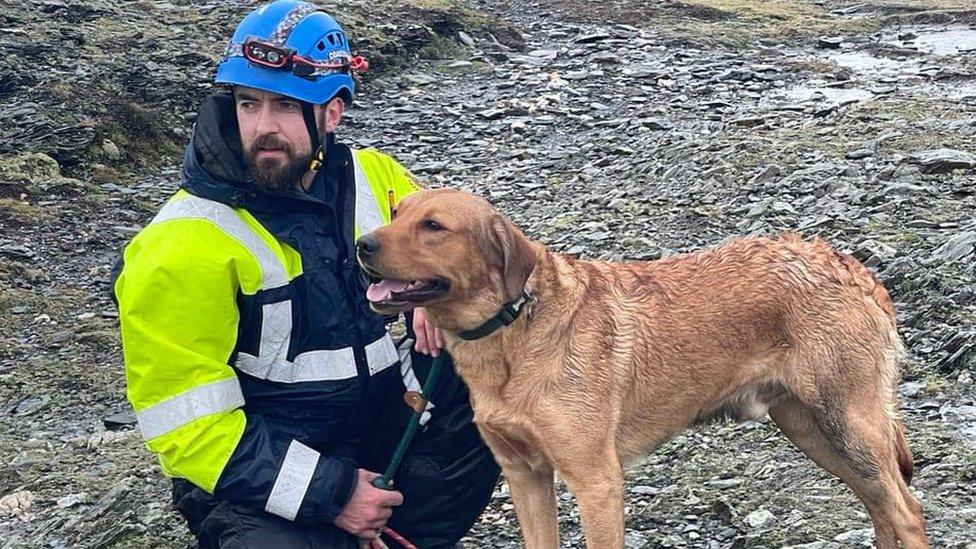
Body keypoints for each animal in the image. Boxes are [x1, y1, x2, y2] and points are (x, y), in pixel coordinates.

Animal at [356, 187, 932, 544]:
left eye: (433, 226)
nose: (361, 244)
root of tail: (852, 268)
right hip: (812, 431)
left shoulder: (596, 481)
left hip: (850, 426)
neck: (510, 332)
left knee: (907, 512)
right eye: (397, 212)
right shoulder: (525, 475)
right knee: (882, 509)